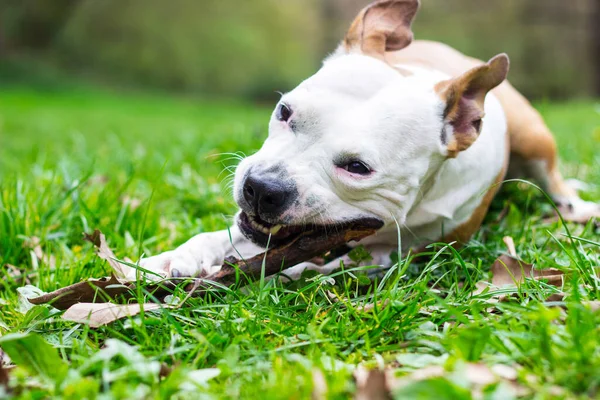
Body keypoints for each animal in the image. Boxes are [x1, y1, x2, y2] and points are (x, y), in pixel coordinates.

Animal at [132, 0, 600, 282]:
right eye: (284, 111)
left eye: (357, 168)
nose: (262, 188)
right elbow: (220, 236)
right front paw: (175, 258)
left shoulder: (397, 253)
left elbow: (328, 266)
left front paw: (288, 273)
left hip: (535, 138)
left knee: (555, 181)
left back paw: (576, 207)